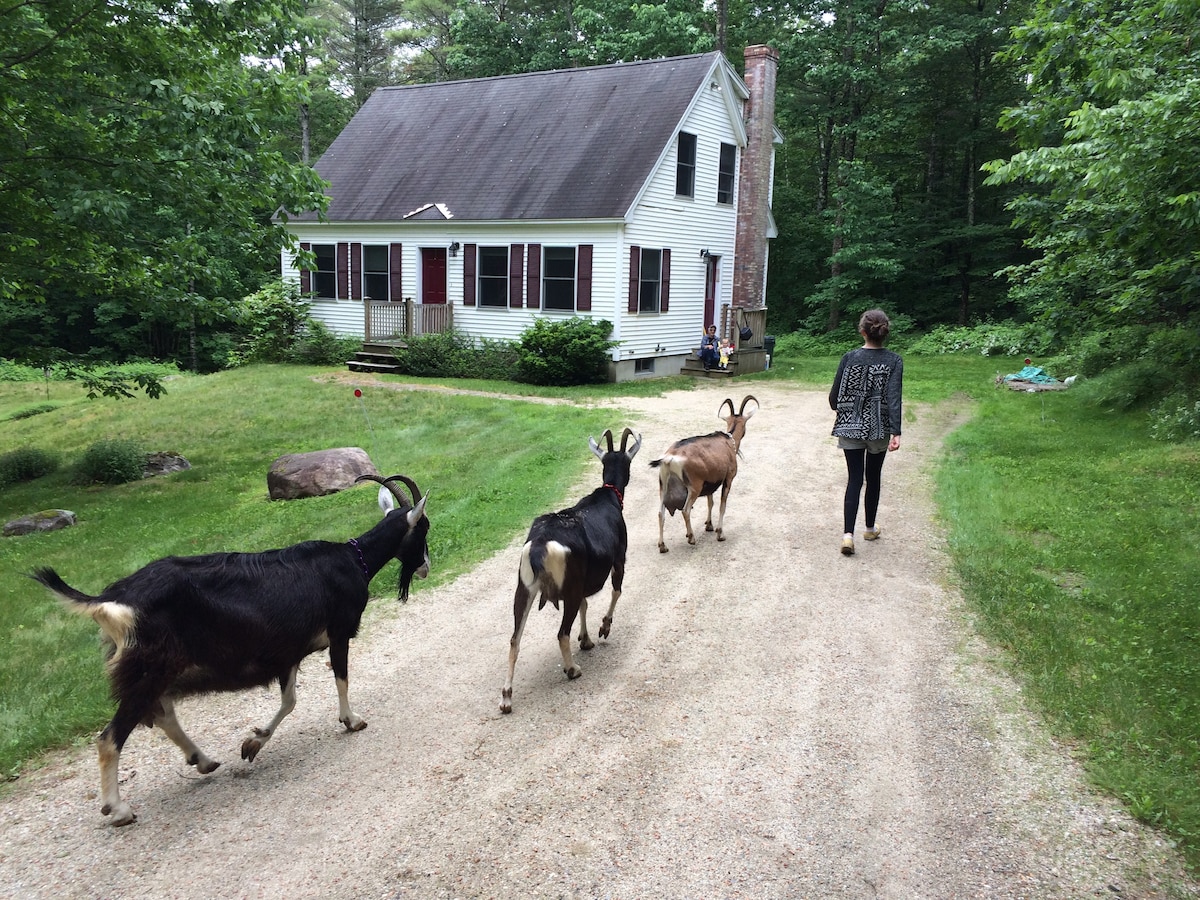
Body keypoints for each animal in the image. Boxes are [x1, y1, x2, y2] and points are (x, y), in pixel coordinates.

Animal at [28, 475, 434, 830]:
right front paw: (352, 721)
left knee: (162, 714)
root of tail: (111, 599)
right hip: (151, 668)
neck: (354, 559)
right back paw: (119, 809)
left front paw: (253, 743)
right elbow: (341, 679)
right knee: (111, 737)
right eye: (423, 530)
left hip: (161, 668)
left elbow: (289, 702)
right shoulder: (337, 632)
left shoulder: (288, 649)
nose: (426, 568)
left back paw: (203, 760)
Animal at [501, 427, 643, 715]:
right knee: (561, 633)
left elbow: (586, 606)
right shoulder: (619, 558)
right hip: (570, 587)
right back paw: (572, 669)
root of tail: (540, 545)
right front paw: (603, 629)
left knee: (514, 639)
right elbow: (617, 591)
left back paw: (507, 697)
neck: (608, 495)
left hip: (525, 587)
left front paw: (586, 639)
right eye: (628, 462)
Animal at [648, 396, 758, 554]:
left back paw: (662, 546)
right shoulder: (728, 478)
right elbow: (722, 505)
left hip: (663, 486)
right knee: (686, 510)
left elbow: (710, 502)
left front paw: (709, 525)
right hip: (694, 486)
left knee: (660, 514)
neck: (729, 440)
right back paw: (691, 537)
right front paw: (720, 533)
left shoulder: (710, 482)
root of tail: (670, 458)